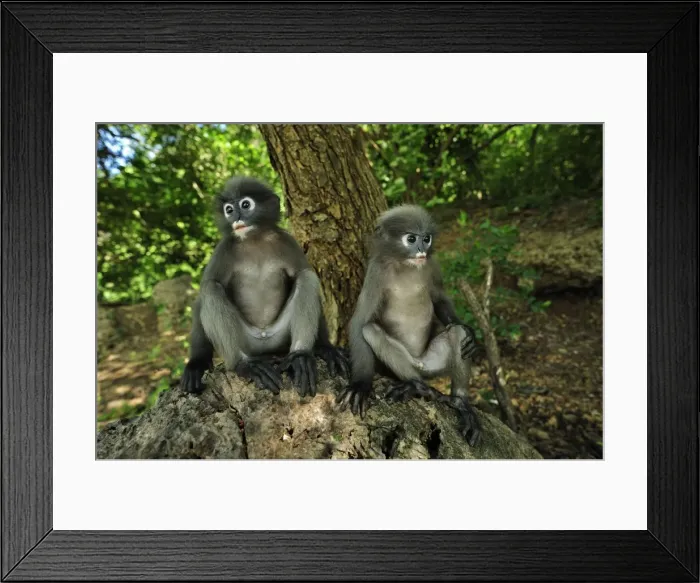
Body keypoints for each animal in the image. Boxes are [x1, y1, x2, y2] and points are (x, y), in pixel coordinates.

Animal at [180, 176, 348, 397]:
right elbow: (203, 296)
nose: (236, 217)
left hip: (280, 336)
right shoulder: (222, 250)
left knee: (307, 277)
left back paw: (300, 357)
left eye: (245, 205)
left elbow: (302, 273)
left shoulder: (288, 242)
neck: (255, 240)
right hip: (247, 341)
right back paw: (246, 365)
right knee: (211, 290)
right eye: (228, 209)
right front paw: (196, 363)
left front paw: (325, 347)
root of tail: (264, 341)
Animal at [336, 205, 482, 446]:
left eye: (426, 238)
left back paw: (461, 403)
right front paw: (360, 385)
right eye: (411, 239)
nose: (422, 249)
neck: (406, 265)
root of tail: (420, 364)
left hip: (433, 363)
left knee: (458, 333)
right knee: (371, 330)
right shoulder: (376, 272)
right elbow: (360, 322)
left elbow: (439, 299)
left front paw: (470, 330)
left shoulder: (432, 265)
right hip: (412, 366)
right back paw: (417, 387)